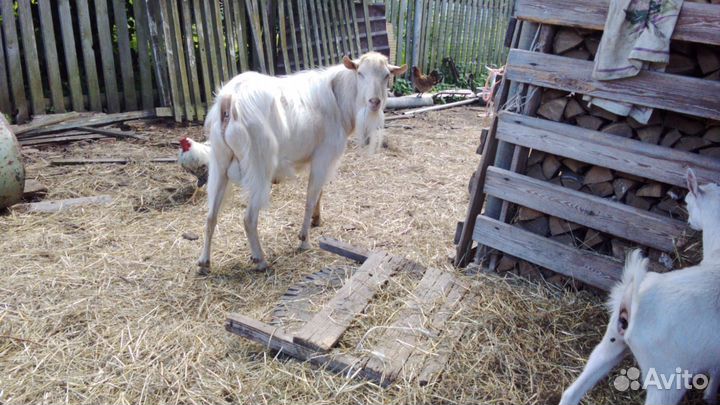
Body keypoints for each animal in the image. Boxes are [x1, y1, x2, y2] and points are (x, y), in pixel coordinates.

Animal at [198, 52, 407, 271]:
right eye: (360, 73)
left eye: (386, 75)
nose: (374, 101)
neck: (338, 101)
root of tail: (230, 99)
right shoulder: (323, 156)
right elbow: (310, 197)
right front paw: (304, 239)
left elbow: (319, 192)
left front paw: (317, 220)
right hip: (259, 166)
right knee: (249, 219)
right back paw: (260, 259)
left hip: (219, 162)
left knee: (210, 216)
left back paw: (204, 263)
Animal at [559, 169, 720, 405]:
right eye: (688, 202)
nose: (690, 221)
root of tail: (635, 303)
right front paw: (710, 397)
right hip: (667, 377)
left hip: (611, 341)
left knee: (571, 392)